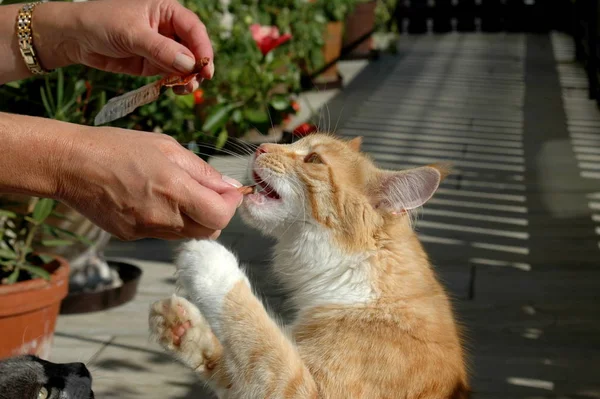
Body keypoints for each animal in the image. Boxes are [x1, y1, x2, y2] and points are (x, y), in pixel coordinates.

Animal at [149, 134, 468, 399]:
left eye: (313, 159)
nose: (261, 148)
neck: (357, 275)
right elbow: (236, 360)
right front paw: (181, 327)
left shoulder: (307, 390)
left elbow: (256, 333)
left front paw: (209, 260)